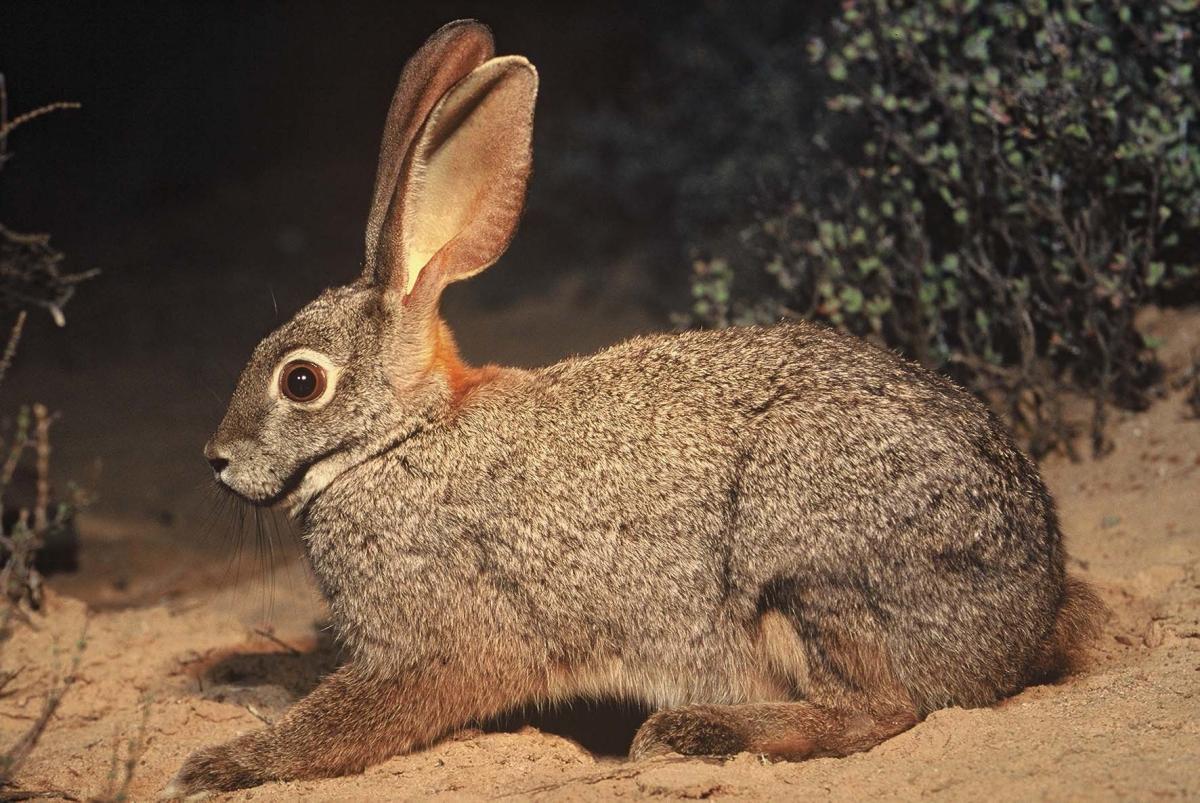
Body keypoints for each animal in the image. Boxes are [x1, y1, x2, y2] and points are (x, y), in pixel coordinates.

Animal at [164, 18, 1099, 796]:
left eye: (300, 381)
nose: (216, 458)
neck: (401, 438)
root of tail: (1028, 616)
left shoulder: (430, 641)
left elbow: (339, 723)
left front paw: (218, 763)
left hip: (804, 561)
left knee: (881, 708)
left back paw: (693, 732)